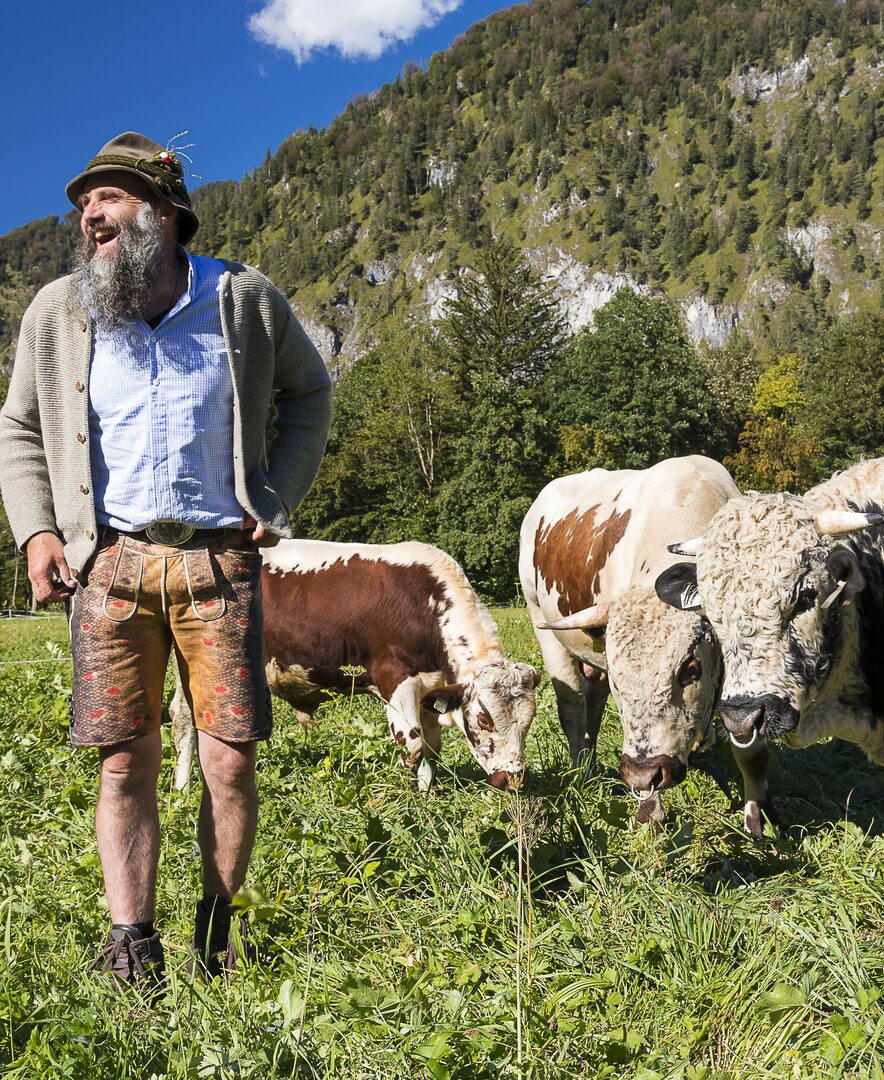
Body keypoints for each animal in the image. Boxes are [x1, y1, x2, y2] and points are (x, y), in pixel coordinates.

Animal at [169, 540, 535, 794]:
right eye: (485, 719)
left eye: (528, 722)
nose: (512, 780)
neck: (426, 604)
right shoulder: (396, 682)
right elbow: (413, 746)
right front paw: (408, 802)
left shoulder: (432, 689)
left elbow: (431, 748)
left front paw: (426, 796)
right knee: (185, 718)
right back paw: (183, 788)